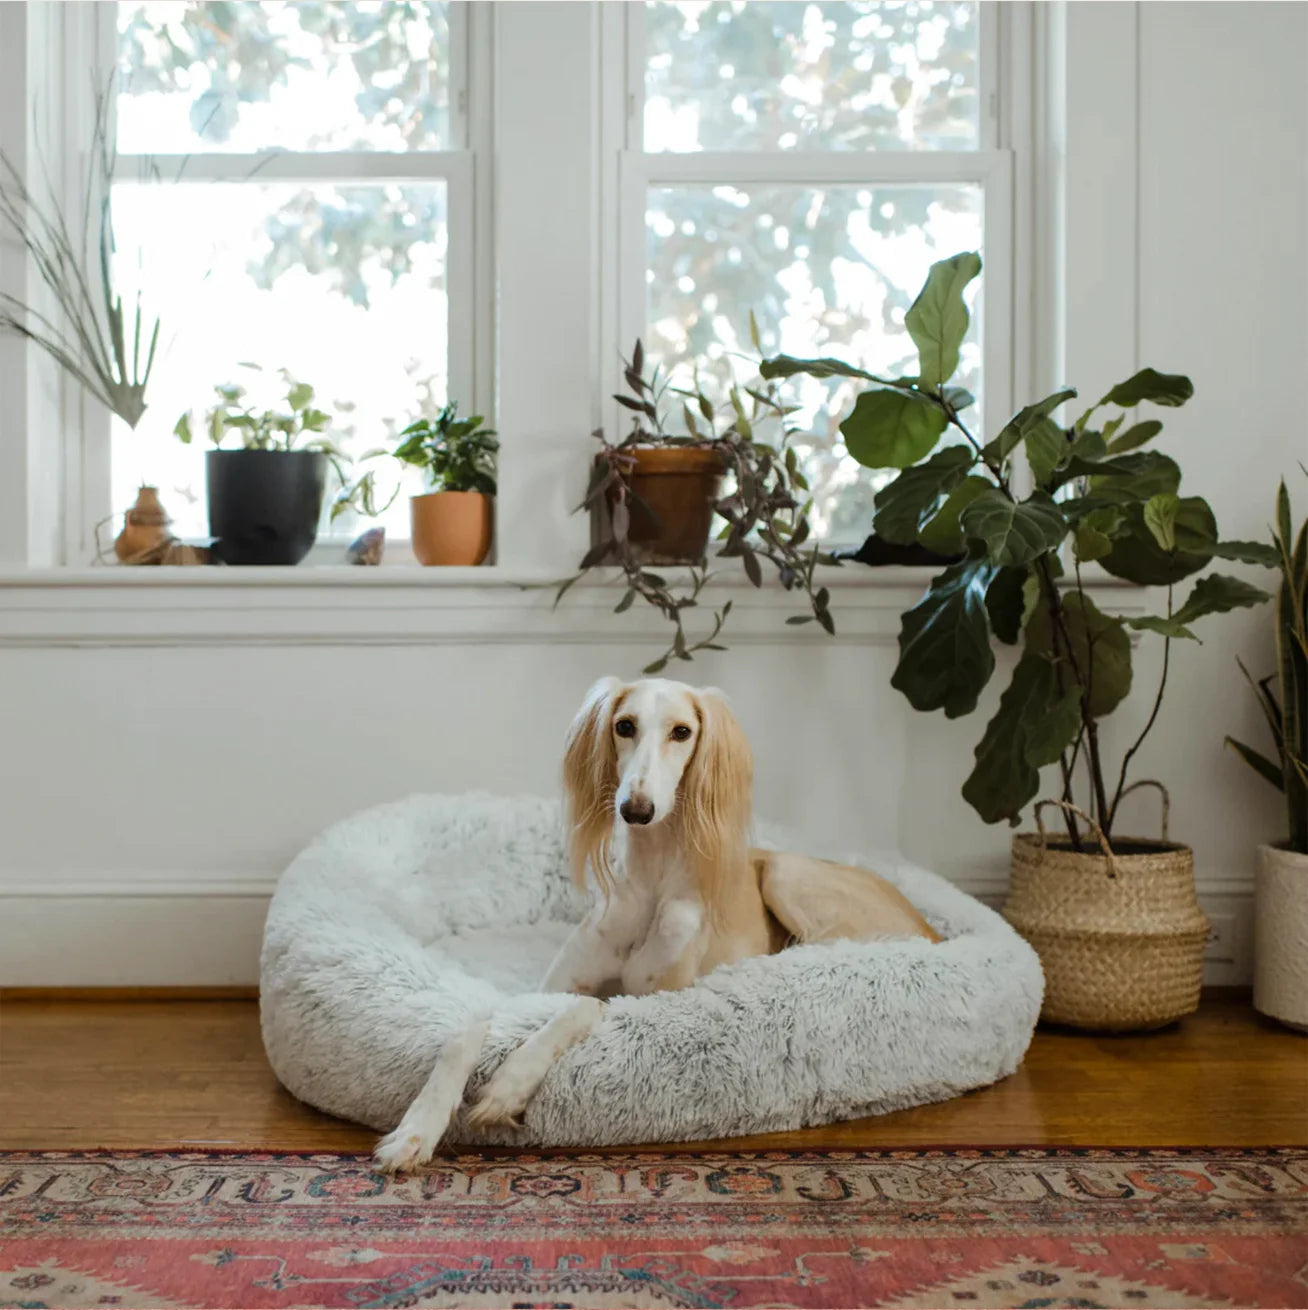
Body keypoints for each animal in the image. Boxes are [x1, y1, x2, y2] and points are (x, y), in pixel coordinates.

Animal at [374, 675, 938, 1168]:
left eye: (681, 731)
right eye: (624, 725)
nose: (636, 809)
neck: (650, 883)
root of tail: (932, 928)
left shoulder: (655, 1001)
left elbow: (586, 1006)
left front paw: (509, 1085)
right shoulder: (543, 989)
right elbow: (469, 1027)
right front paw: (416, 1130)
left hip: (786, 874)